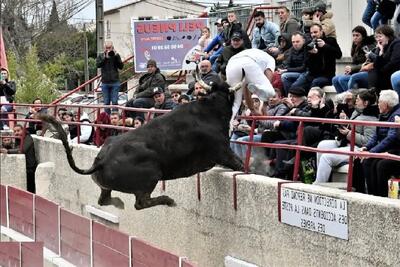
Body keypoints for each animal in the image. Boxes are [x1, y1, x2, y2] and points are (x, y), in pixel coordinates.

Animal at [41, 82, 247, 210]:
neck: (210, 110)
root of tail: (100, 161)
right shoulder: (222, 151)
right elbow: (240, 164)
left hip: (107, 186)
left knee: (104, 199)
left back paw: (119, 203)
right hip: (151, 176)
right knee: (140, 203)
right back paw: (168, 200)